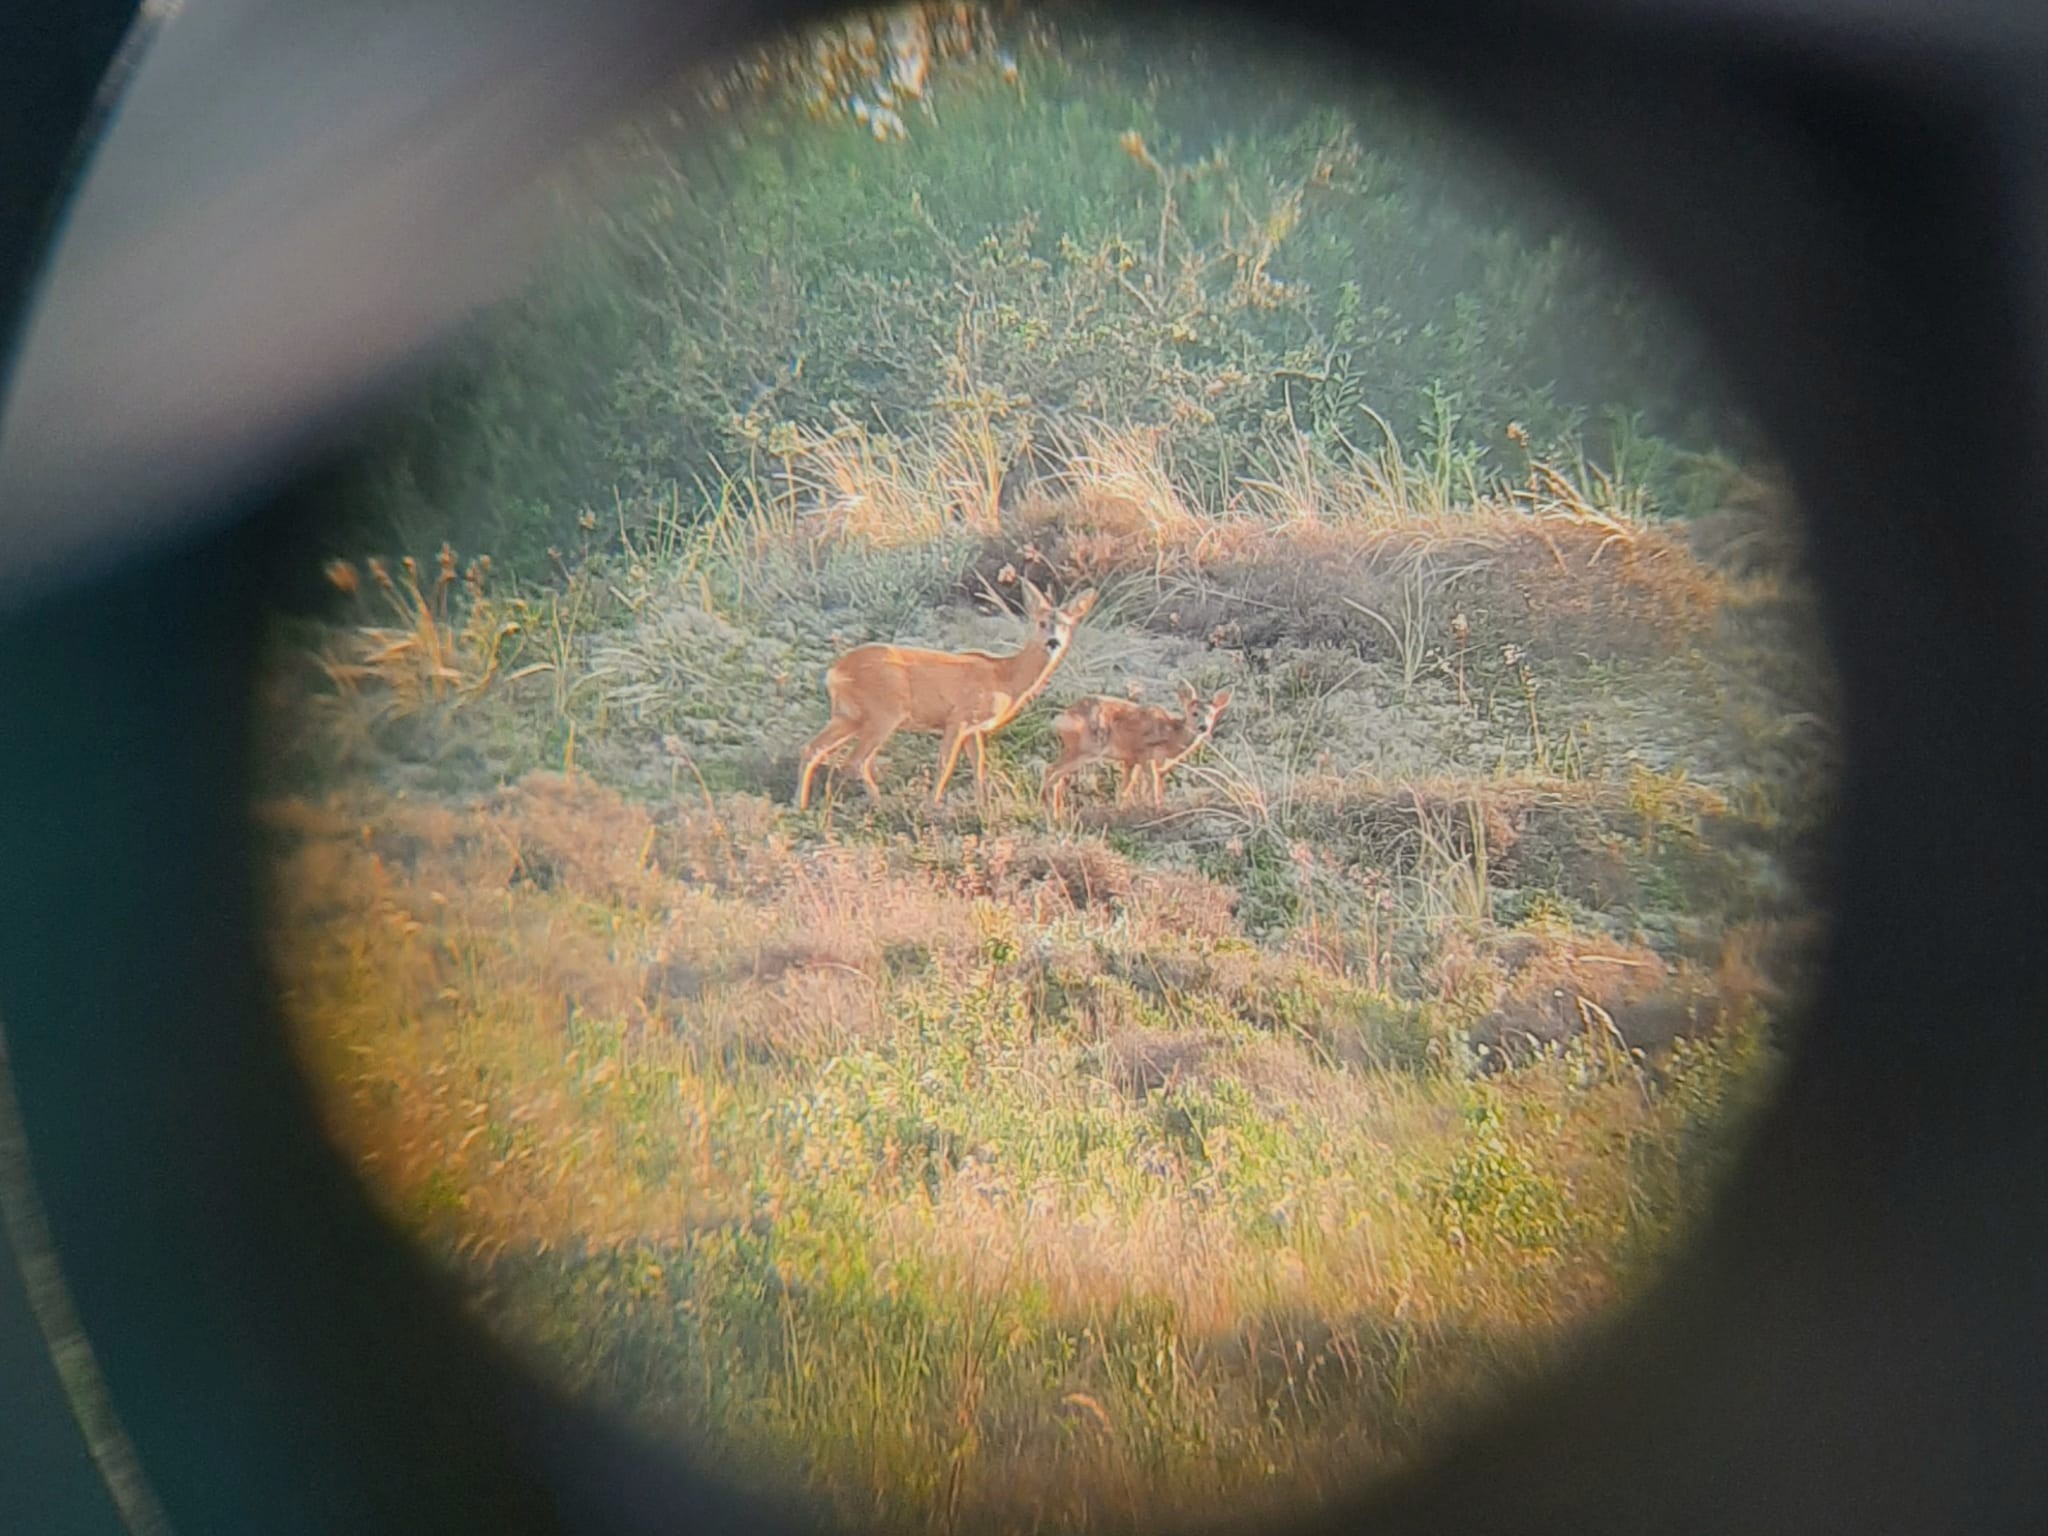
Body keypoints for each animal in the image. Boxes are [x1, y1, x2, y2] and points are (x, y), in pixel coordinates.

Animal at [796, 577, 1099, 810]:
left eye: (1066, 624)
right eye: (1041, 622)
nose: (1053, 642)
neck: (1003, 677)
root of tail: (835, 671)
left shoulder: (974, 728)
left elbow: (979, 766)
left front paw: (982, 806)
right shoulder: (959, 717)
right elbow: (945, 765)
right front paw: (933, 805)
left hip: (848, 715)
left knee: (812, 749)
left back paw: (799, 805)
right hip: (884, 712)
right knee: (855, 761)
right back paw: (881, 804)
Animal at [1041, 681, 1232, 816]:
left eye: (1212, 714)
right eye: (1194, 713)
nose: (1203, 727)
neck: (1171, 735)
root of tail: (1062, 717)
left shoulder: (1133, 759)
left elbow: (1129, 788)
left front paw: (1125, 810)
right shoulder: (1145, 753)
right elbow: (1152, 784)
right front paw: (1157, 810)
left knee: (1056, 776)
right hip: (1086, 748)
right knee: (1051, 771)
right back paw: (1051, 814)